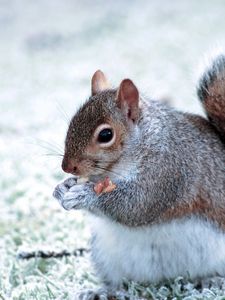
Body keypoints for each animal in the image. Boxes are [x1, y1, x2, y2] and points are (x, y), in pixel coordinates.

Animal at [53, 52, 225, 298]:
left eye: (105, 135)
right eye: (71, 124)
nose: (67, 167)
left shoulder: (169, 170)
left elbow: (137, 206)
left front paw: (85, 195)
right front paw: (62, 188)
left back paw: (211, 280)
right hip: (107, 256)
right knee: (122, 282)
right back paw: (104, 291)